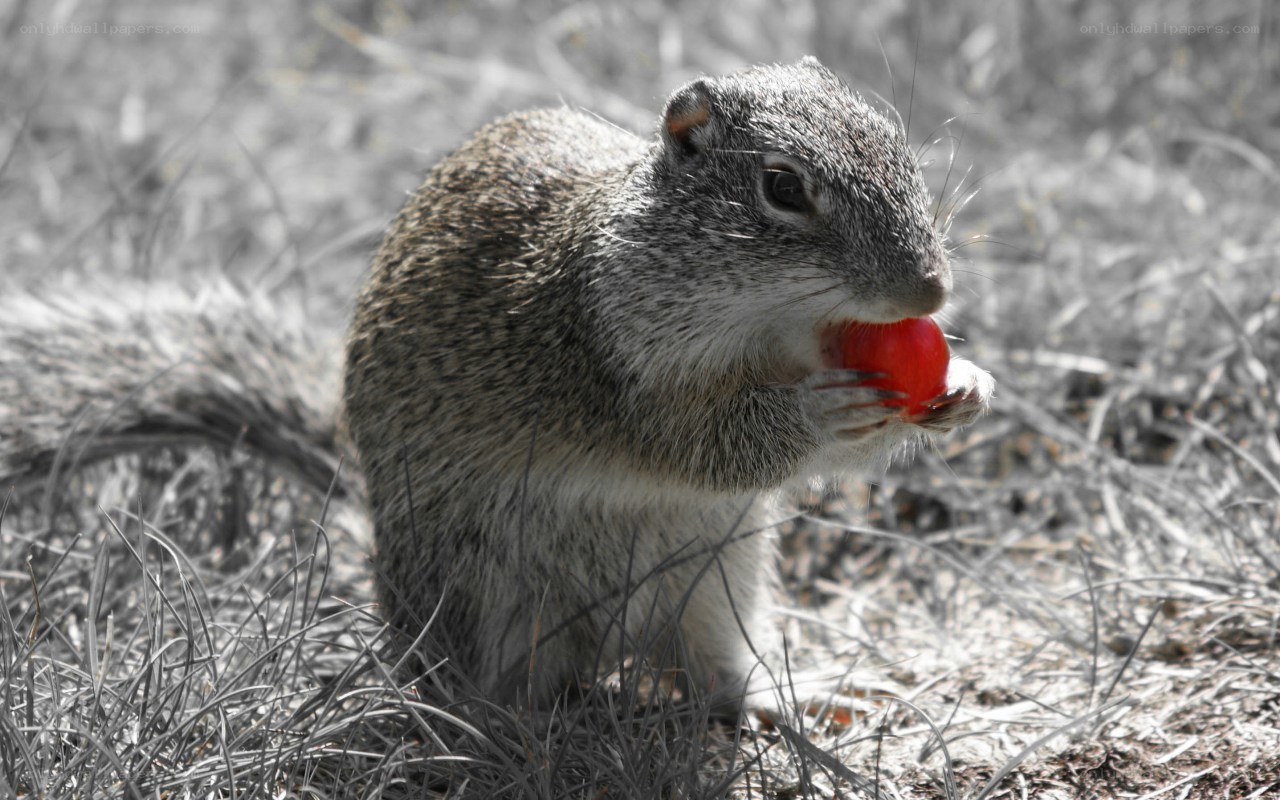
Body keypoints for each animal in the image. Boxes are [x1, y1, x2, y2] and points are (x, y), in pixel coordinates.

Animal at [1, 58, 993, 713]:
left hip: (718, 584)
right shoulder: (604, 357)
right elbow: (706, 444)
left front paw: (968, 383)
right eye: (782, 187)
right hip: (489, 595)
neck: (778, 330)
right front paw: (817, 410)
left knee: (709, 676)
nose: (930, 292)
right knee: (484, 688)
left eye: (901, 151)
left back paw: (785, 699)